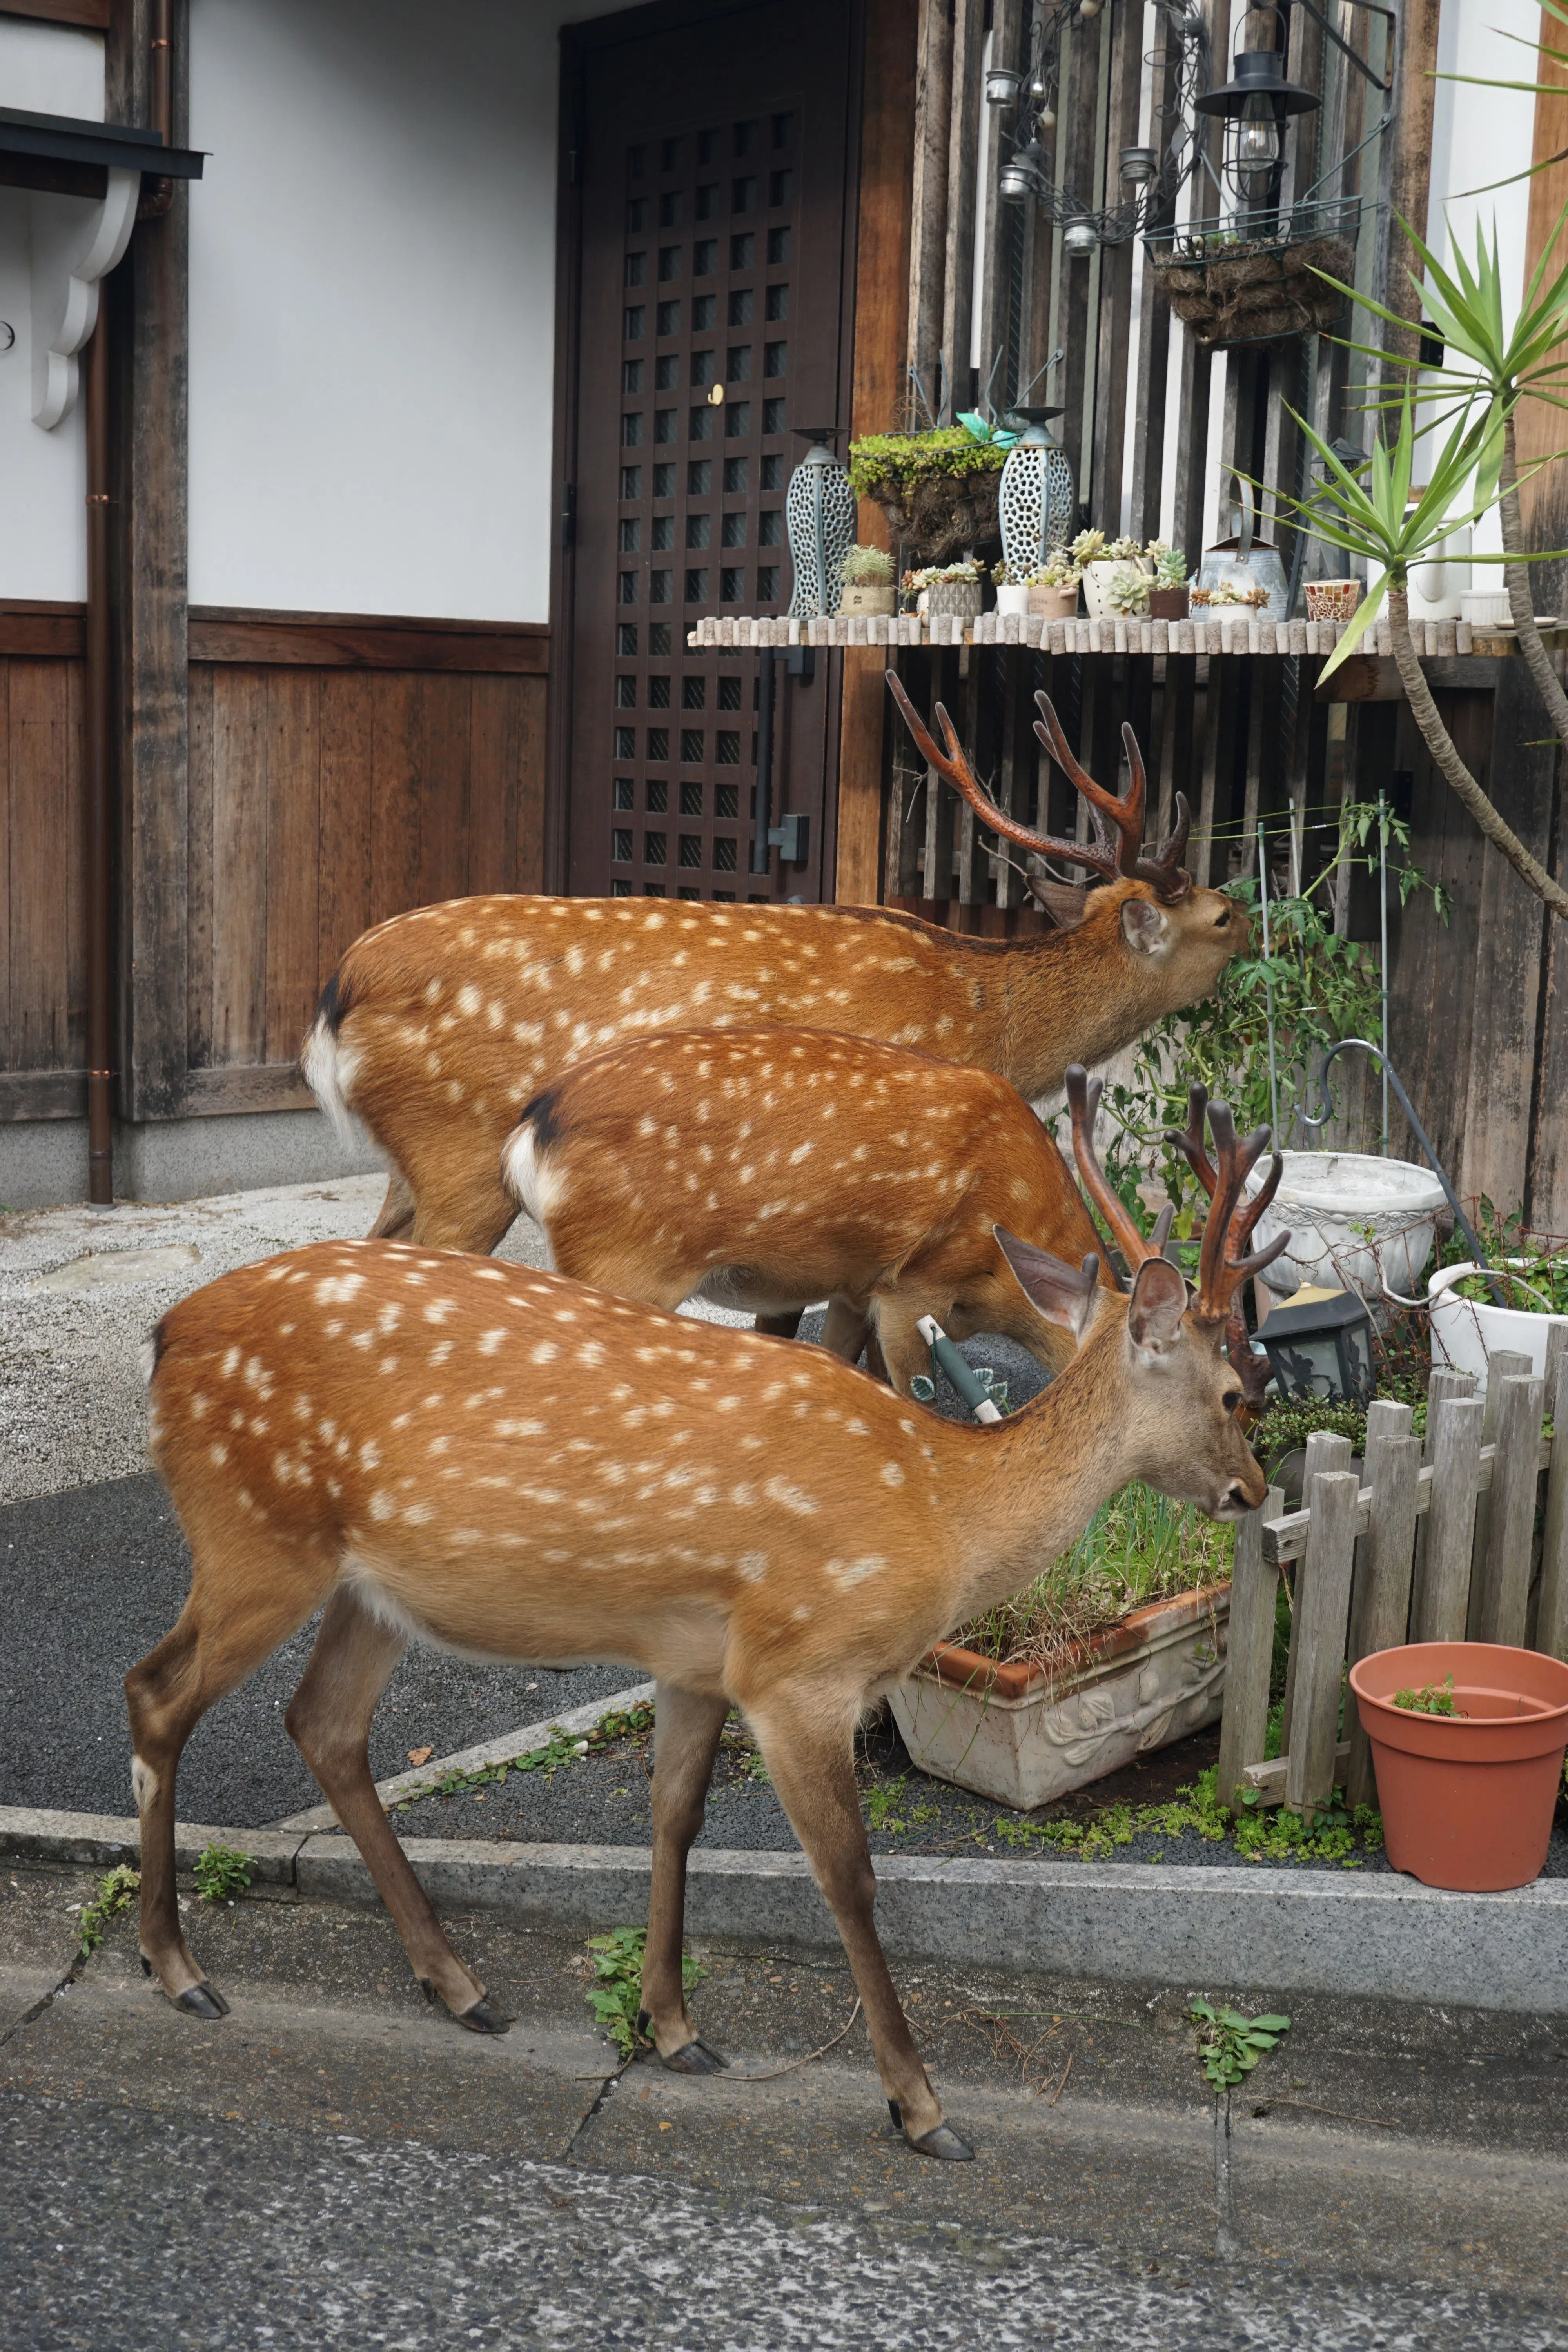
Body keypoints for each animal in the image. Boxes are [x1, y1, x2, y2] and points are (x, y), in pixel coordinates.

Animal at [127, 1075, 1286, 2163]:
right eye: (1236, 1390)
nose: (1252, 1490)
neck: (938, 1508)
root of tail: (165, 1334)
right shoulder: (800, 1667)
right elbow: (847, 1876)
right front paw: (920, 2108)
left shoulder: (695, 1659)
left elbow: (674, 1814)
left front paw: (676, 2029)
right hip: (255, 1537)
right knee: (157, 1693)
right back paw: (179, 1969)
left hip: (370, 1584)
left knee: (322, 1723)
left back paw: (460, 1988)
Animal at [301, 678, 1245, 1258]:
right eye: (1221, 916)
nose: (1255, 933)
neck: (987, 1019)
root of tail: (336, 996)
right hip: (460, 1148)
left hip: (413, 1159)